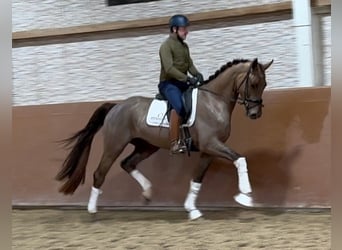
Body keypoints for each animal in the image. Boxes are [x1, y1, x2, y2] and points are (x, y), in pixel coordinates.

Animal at [57, 57, 274, 220]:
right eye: (253, 83)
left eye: (264, 84)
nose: (255, 114)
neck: (214, 101)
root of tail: (116, 106)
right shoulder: (211, 144)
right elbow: (240, 159)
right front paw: (245, 195)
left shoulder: (209, 150)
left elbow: (197, 178)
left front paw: (192, 209)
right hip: (115, 145)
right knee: (100, 173)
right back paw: (92, 210)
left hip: (146, 146)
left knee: (127, 164)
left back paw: (147, 192)